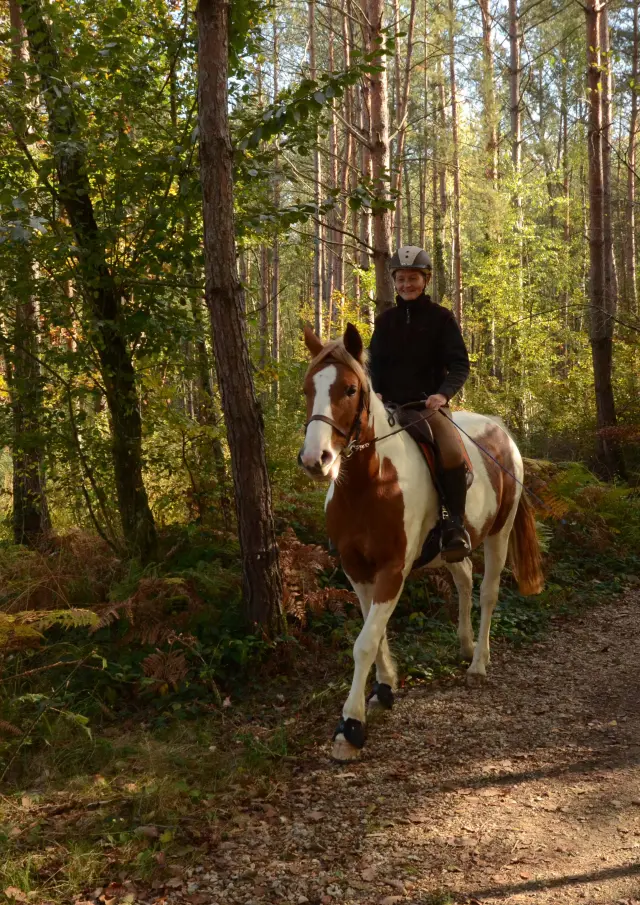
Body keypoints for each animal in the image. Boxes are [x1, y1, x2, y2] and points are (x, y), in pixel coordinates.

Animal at [299, 322, 544, 762]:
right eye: (308, 388)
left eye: (349, 389)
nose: (316, 460)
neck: (369, 484)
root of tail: (501, 431)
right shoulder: (356, 569)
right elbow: (374, 632)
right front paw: (384, 689)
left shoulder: (392, 570)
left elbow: (365, 642)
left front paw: (351, 727)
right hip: (452, 546)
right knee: (463, 577)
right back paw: (464, 645)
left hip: (498, 534)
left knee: (488, 592)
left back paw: (478, 663)